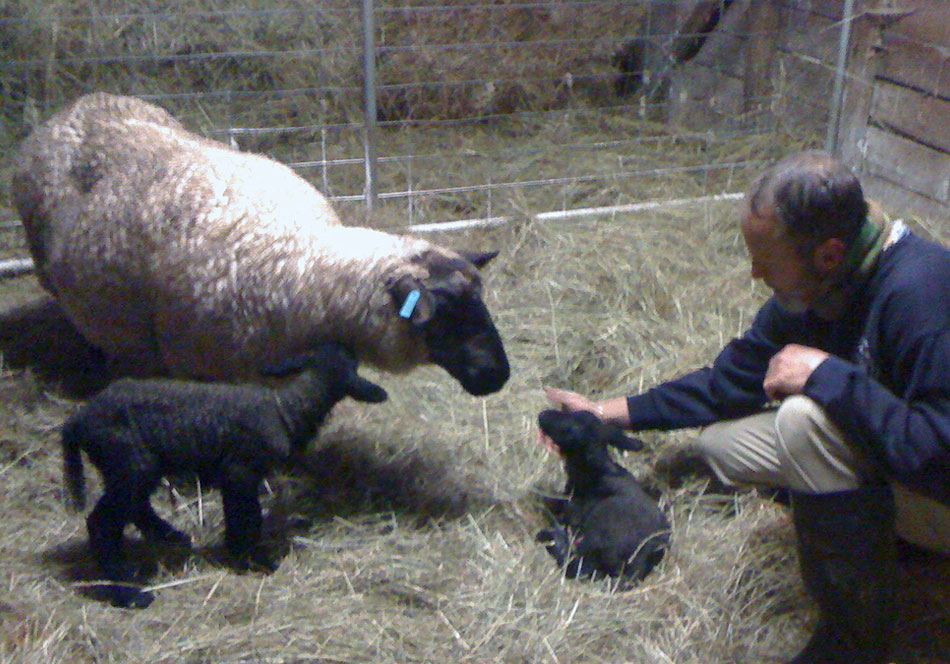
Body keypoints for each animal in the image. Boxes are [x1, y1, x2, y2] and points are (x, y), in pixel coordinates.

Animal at [60, 342, 386, 608]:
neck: (285, 408)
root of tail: (76, 421)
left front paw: (241, 553)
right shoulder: (239, 472)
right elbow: (246, 516)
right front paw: (251, 558)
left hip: (132, 466)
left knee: (135, 506)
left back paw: (170, 536)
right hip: (128, 461)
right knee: (102, 522)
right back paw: (127, 591)